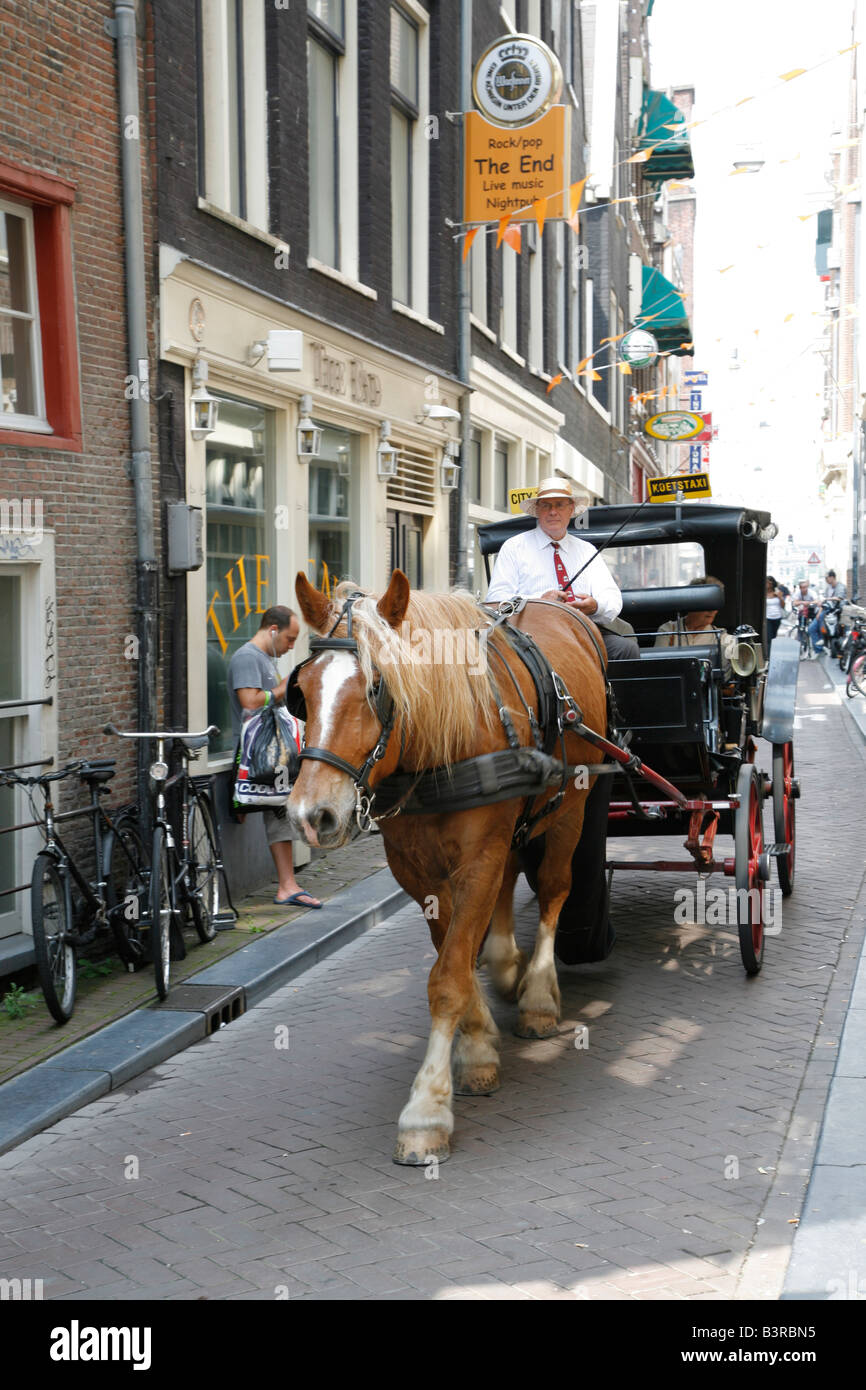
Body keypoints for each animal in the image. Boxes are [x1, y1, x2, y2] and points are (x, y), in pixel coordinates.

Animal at [287, 564, 606, 1162]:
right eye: (302, 691)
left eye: (376, 688)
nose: (310, 815)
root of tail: (559, 605)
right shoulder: (418, 871)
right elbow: (453, 958)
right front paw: (478, 1047)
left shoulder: (478, 856)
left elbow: (449, 977)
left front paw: (426, 1111)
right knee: (507, 899)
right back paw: (508, 971)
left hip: (570, 809)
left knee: (555, 890)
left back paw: (537, 998)